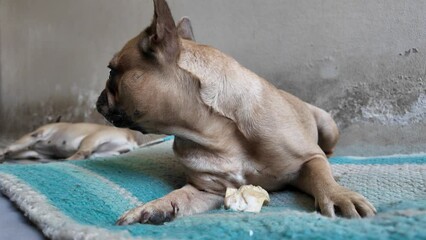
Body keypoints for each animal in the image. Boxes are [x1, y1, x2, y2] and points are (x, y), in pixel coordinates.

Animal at [0, 122, 144, 161]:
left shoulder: (35, 135)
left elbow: (13, 146)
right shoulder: (37, 153)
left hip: (92, 139)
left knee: (82, 153)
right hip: (105, 152)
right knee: (87, 155)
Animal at [96, 0, 376, 225]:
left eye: (111, 72)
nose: (98, 99)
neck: (217, 132)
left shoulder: (307, 161)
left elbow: (320, 176)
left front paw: (338, 194)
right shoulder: (209, 190)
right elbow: (181, 195)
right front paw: (155, 206)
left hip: (328, 125)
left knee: (327, 151)